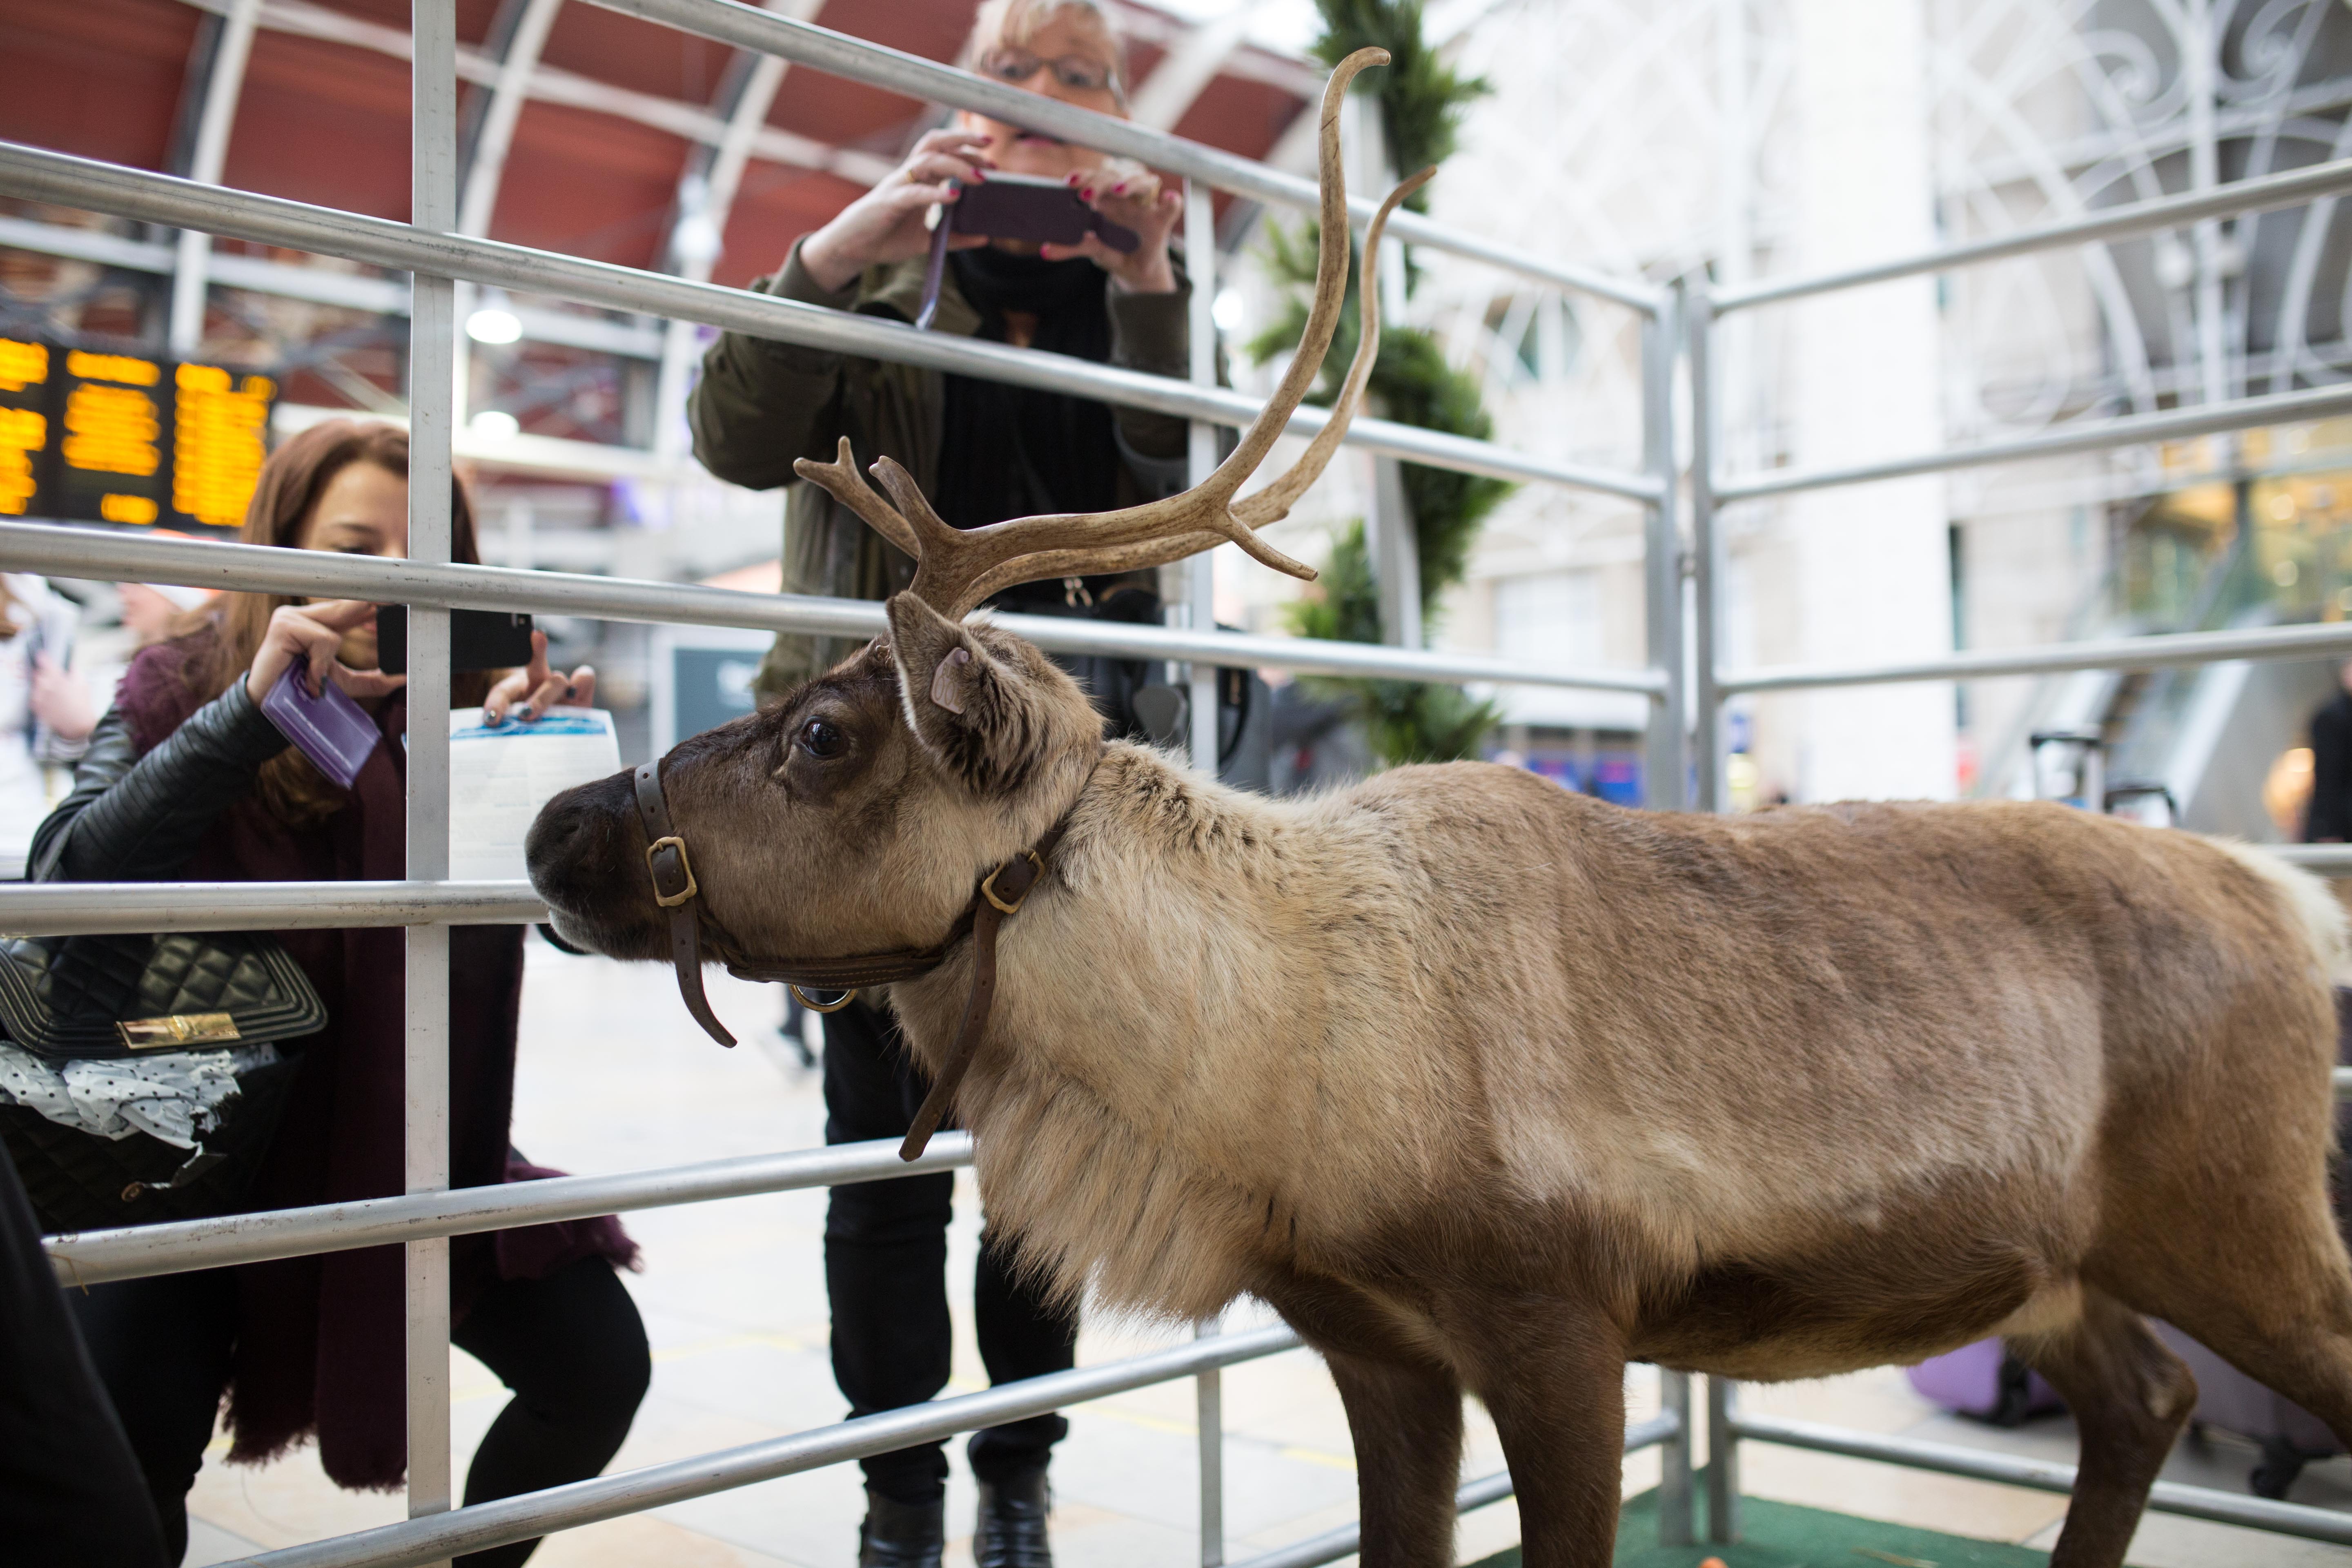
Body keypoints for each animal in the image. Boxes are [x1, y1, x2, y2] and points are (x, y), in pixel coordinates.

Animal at [524, 47, 2352, 1568]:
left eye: (827, 735)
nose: (559, 831)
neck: (1269, 1077)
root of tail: (2292, 897)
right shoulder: (1374, 1344)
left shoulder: (1562, 1325)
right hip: (2057, 1263)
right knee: (2142, 1401)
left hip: (2244, 1225)